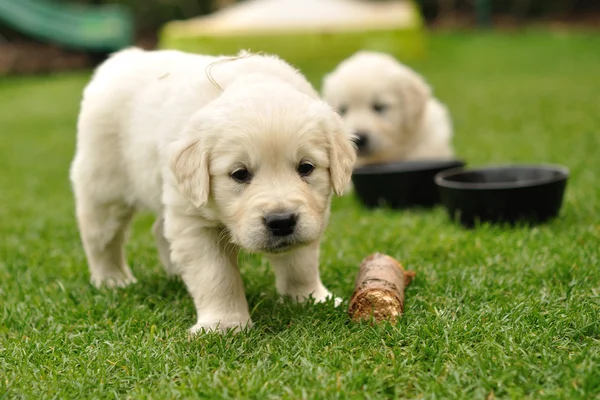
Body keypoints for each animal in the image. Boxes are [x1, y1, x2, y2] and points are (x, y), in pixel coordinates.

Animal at [69, 47, 356, 334]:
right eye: (240, 174)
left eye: (306, 167)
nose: (282, 221)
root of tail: (123, 57)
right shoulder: (193, 221)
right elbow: (217, 275)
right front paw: (223, 325)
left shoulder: (314, 214)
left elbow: (301, 263)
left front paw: (312, 298)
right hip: (104, 186)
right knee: (100, 238)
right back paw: (112, 280)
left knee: (159, 230)